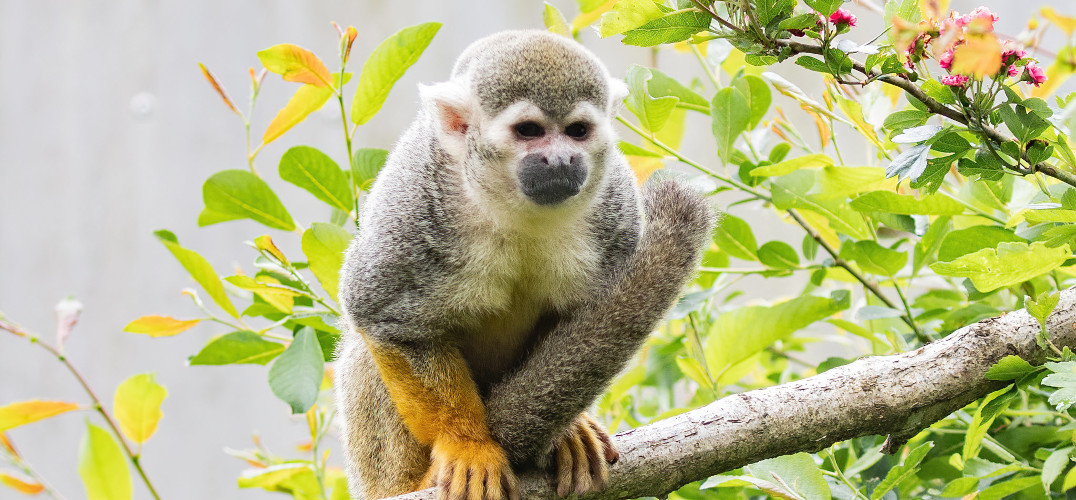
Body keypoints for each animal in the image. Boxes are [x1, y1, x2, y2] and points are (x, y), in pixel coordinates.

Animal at [334, 30, 714, 500]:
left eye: (577, 131)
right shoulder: (417, 205)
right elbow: (386, 317)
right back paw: (404, 483)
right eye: (529, 131)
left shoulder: (617, 208)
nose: (562, 159)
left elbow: (581, 322)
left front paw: (567, 428)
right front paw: (467, 442)